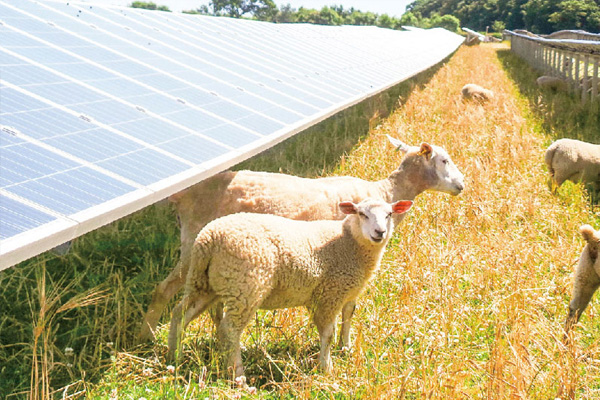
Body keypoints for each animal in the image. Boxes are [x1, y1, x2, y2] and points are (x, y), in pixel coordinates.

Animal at [138, 136, 466, 342]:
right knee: (164, 290)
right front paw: (344, 346)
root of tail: (184, 195)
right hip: (195, 246)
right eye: (444, 160)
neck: (386, 192)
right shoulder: (350, 260)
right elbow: (349, 308)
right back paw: (148, 338)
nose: (462, 185)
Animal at [168, 198, 412, 376]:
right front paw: (326, 367)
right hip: (246, 287)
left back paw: (174, 357)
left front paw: (346, 348)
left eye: (389, 214)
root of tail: (208, 239)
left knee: (180, 314)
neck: (348, 243)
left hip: (205, 284)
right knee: (229, 329)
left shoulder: (347, 291)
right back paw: (238, 376)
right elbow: (327, 333)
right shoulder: (329, 293)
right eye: (362, 214)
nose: (379, 232)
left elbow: (348, 317)